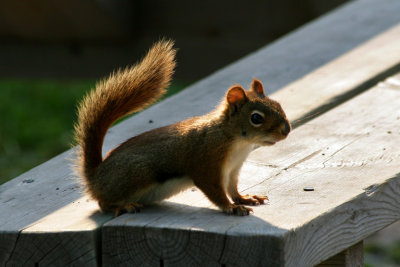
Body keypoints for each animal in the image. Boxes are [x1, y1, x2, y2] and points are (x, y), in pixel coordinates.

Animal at [73, 41, 290, 218]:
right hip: (134, 175)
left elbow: (232, 189)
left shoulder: (233, 169)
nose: (286, 130)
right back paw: (122, 207)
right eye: (256, 118)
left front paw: (245, 198)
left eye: (278, 104)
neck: (235, 140)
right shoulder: (206, 164)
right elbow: (215, 191)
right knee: (103, 203)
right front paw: (231, 208)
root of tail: (95, 177)